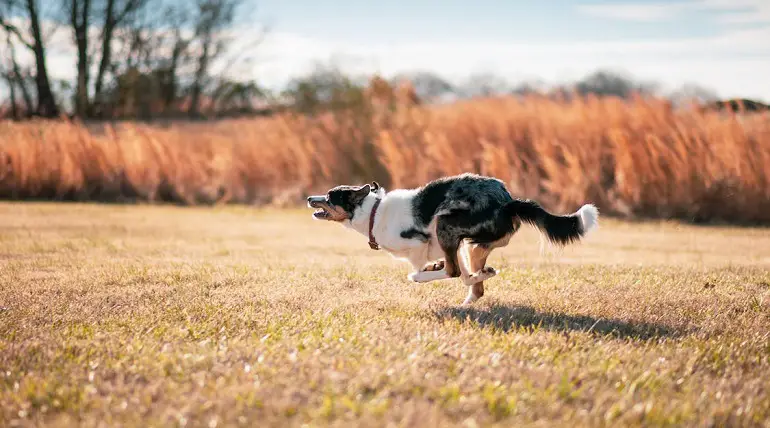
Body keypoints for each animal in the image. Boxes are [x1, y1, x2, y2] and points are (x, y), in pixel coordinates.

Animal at [304, 173, 596, 304]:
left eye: (330, 196)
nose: (309, 198)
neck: (373, 211)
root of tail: (508, 202)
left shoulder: (420, 242)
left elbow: (424, 267)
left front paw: (422, 273)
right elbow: (458, 273)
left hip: (445, 224)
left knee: (455, 273)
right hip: (471, 246)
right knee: (473, 284)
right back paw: (477, 287)